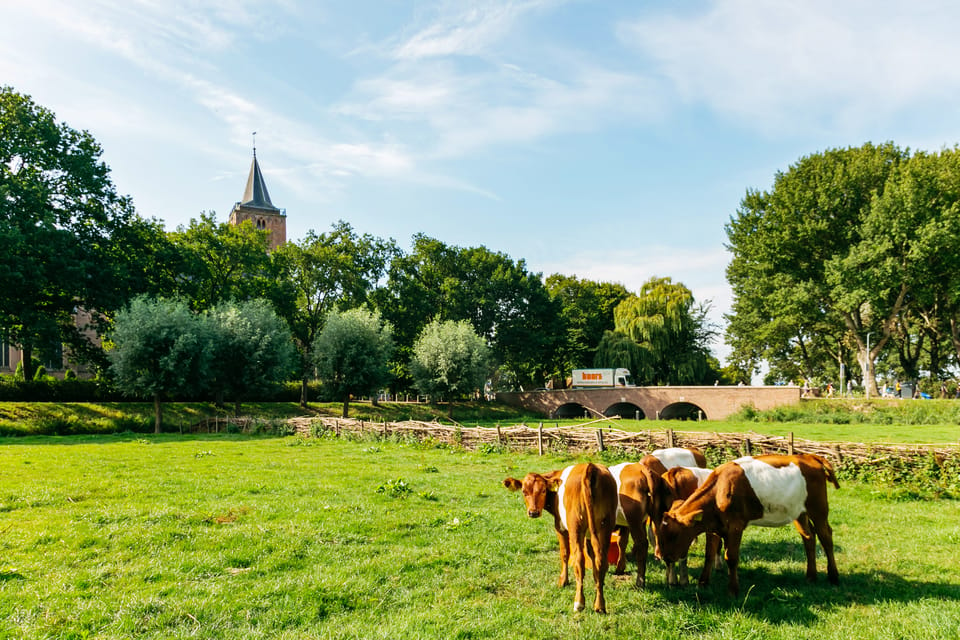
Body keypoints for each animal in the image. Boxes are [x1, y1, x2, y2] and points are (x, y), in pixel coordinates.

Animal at [502, 462, 616, 612]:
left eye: (543, 491)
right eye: (524, 492)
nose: (533, 512)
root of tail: (590, 467)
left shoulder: (560, 527)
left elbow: (565, 554)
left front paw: (563, 581)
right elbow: (592, 557)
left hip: (575, 527)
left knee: (579, 561)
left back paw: (579, 602)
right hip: (604, 527)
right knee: (601, 560)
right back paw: (600, 605)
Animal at [652, 456, 840, 596]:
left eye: (674, 534)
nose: (662, 556)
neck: (719, 491)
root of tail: (810, 457)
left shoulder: (736, 526)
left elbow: (731, 557)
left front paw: (733, 590)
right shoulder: (715, 526)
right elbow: (709, 553)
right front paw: (703, 582)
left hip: (818, 508)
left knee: (826, 536)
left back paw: (833, 576)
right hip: (798, 512)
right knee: (809, 537)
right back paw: (811, 576)